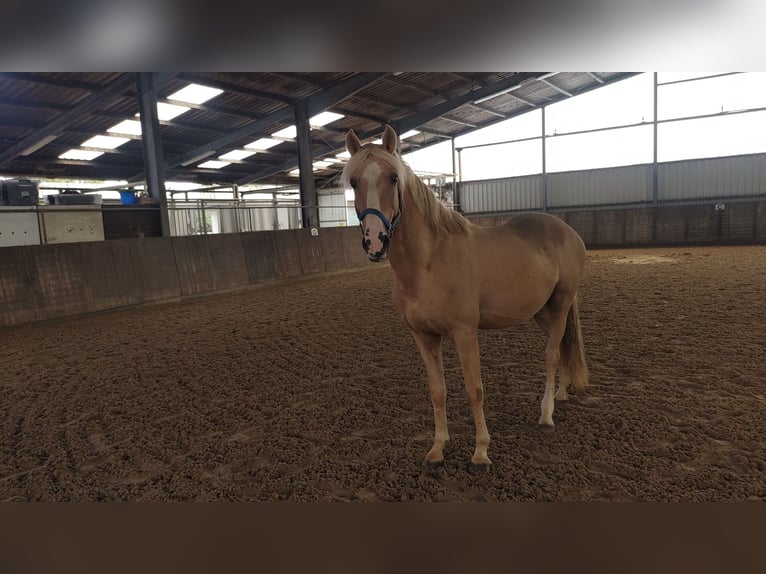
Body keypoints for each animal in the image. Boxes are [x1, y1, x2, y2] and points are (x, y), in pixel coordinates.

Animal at [344, 124, 592, 470]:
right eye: (354, 181)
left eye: (393, 177)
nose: (374, 242)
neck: (429, 261)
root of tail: (568, 232)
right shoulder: (423, 336)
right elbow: (438, 391)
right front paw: (437, 448)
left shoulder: (464, 333)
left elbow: (474, 390)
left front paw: (481, 451)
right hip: (542, 311)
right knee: (564, 347)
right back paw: (562, 394)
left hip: (560, 304)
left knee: (552, 355)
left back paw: (546, 414)